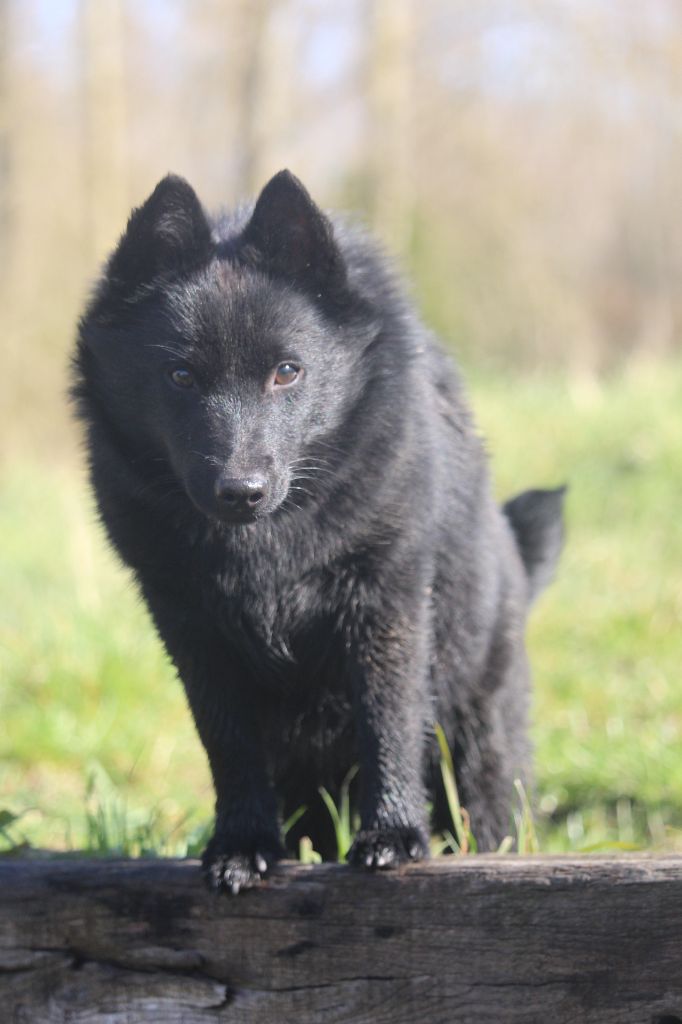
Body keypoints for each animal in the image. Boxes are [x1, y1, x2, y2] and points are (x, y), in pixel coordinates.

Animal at [73, 172, 561, 892]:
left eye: (287, 371)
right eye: (180, 375)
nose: (241, 491)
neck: (266, 551)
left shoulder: (385, 606)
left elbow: (388, 722)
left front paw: (393, 835)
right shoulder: (192, 630)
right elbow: (229, 745)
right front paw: (243, 845)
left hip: (480, 751)